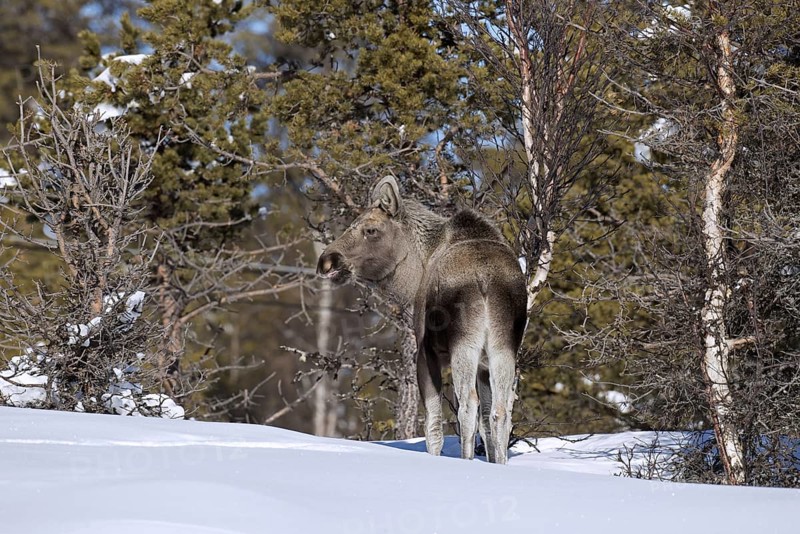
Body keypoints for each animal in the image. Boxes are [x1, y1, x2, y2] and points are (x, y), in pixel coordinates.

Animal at [317, 176, 527, 464]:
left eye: (370, 230)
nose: (327, 261)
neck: (418, 266)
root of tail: (487, 280)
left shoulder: (426, 350)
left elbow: (433, 424)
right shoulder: (485, 364)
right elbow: (487, 420)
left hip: (464, 343)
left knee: (467, 406)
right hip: (503, 346)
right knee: (501, 411)